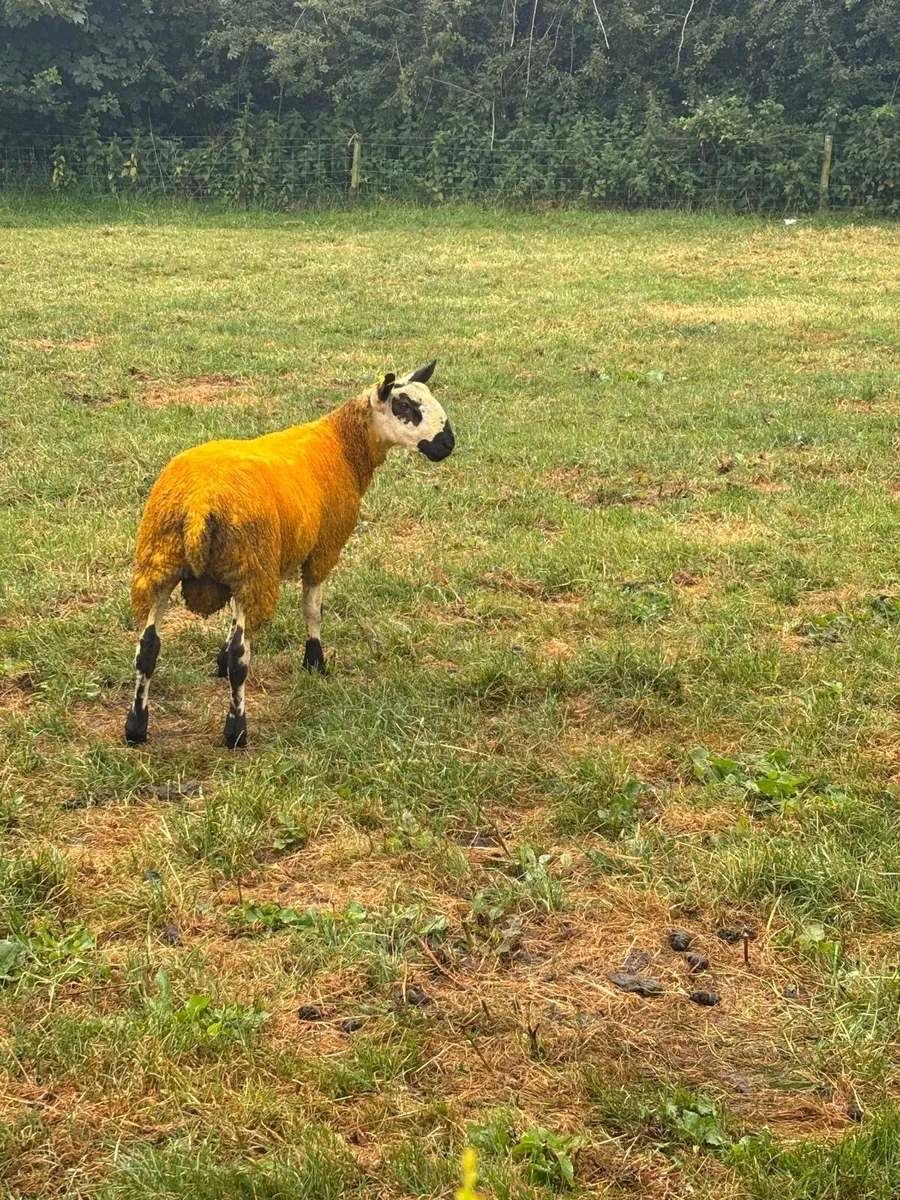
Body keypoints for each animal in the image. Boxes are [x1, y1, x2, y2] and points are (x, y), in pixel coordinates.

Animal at [124, 361, 454, 749]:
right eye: (405, 406)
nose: (448, 443)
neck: (341, 445)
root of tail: (199, 503)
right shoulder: (322, 548)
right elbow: (312, 609)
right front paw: (315, 662)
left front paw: (220, 656)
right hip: (248, 563)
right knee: (240, 660)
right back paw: (236, 731)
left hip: (163, 563)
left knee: (147, 649)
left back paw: (136, 727)